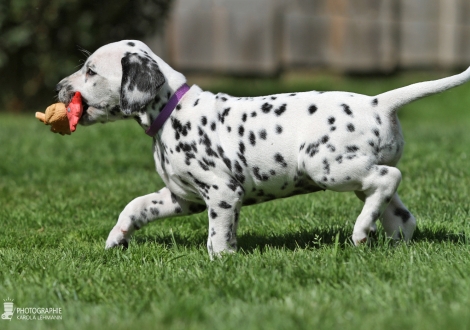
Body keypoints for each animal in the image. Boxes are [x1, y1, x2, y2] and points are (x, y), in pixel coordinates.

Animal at [56, 39, 470, 258]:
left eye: (91, 71)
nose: (59, 86)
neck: (173, 110)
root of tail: (378, 102)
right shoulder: (182, 196)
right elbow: (136, 206)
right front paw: (117, 238)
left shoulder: (222, 193)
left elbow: (218, 235)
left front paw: (221, 261)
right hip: (355, 177)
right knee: (398, 210)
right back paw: (389, 239)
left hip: (328, 167)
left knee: (389, 177)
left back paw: (360, 231)